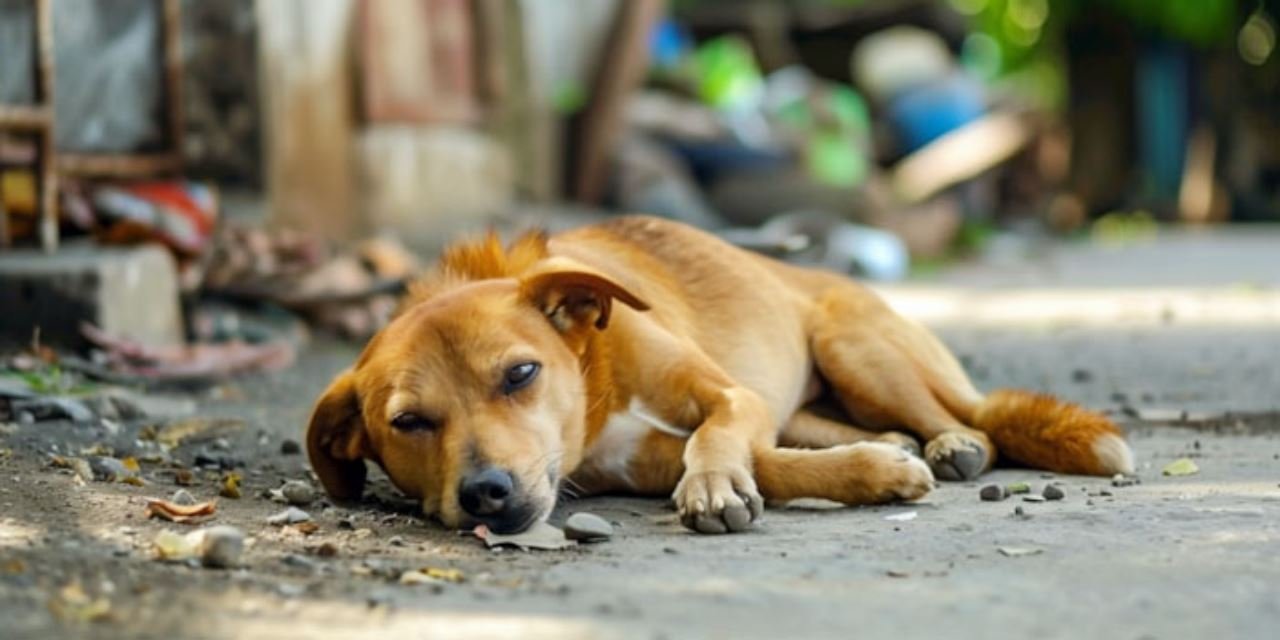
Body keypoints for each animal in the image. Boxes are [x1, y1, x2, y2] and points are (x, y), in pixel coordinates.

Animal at [307, 216, 1131, 535]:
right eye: (408, 423)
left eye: (520, 374)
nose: (486, 493)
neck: (595, 379)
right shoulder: (637, 463)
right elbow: (772, 463)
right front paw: (873, 471)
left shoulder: (731, 397)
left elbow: (719, 438)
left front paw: (711, 486)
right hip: (815, 395)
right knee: (834, 428)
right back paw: (899, 445)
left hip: (857, 348)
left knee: (968, 418)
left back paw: (953, 443)